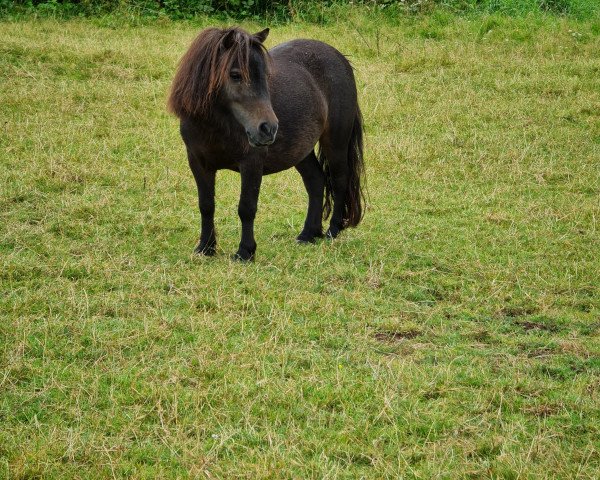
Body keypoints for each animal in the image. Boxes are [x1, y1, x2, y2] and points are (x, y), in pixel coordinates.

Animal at [169, 27, 366, 258]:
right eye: (235, 75)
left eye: (265, 76)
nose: (269, 128)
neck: (216, 125)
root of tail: (339, 57)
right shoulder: (198, 163)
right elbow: (206, 205)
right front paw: (206, 248)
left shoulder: (251, 163)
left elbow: (246, 208)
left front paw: (245, 252)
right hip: (301, 151)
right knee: (316, 181)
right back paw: (308, 234)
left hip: (336, 143)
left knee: (339, 181)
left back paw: (332, 231)